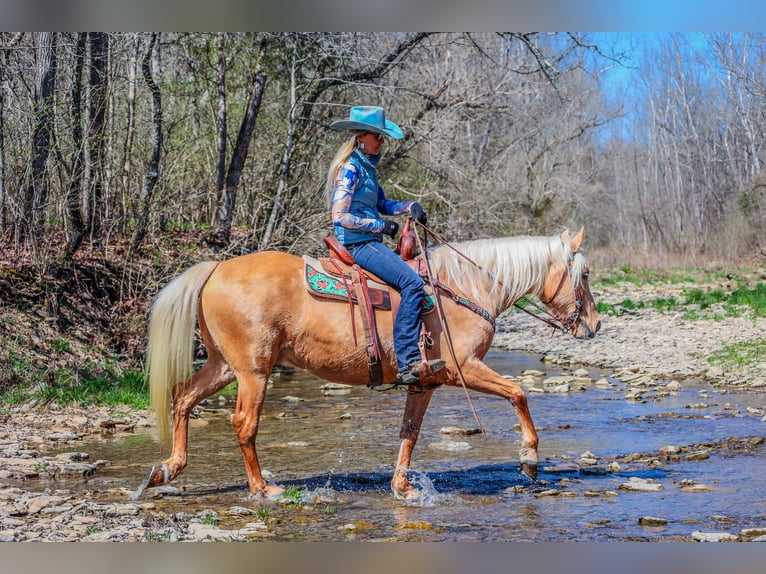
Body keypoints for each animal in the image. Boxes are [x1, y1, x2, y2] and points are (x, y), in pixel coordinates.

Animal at [141, 227, 604, 502]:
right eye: (583, 275)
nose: (595, 324)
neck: (467, 288)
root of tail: (216, 267)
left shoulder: (425, 381)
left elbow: (410, 433)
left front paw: (402, 487)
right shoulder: (465, 368)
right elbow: (519, 394)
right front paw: (529, 460)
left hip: (223, 366)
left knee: (183, 398)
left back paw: (166, 470)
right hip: (253, 371)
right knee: (243, 423)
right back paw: (262, 488)